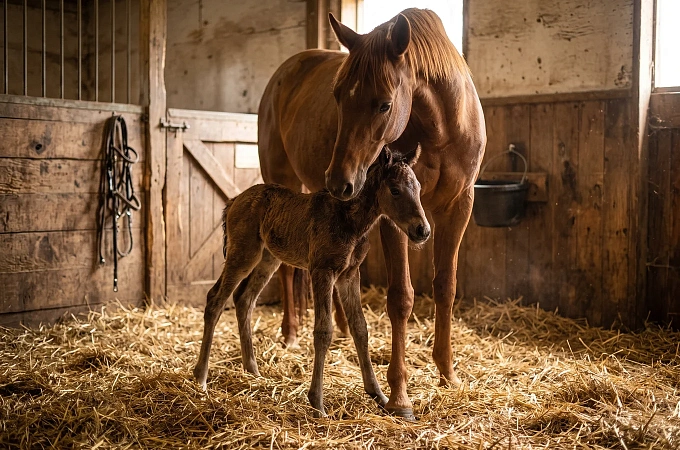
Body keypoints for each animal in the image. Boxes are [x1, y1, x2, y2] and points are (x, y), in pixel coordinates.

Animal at [193, 146, 429, 417]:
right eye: (395, 190)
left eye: (419, 188)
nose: (423, 230)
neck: (349, 220)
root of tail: (233, 201)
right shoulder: (322, 271)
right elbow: (324, 331)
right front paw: (317, 403)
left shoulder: (349, 275)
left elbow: (360, 328)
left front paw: (377, 394)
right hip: (243, 253)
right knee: (215, 299)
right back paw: (200, 377)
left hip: (268, 259)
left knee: (244, 299)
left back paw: (252, 370)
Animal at [257, 8, 486, 419]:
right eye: (336, 97)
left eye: (383, 104)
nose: (339, 180)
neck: (443, 124)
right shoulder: (394, 217)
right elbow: (401, 298)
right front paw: (399, 396)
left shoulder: (458, 207)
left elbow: (445, 287)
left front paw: (448, 373)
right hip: (281, 181)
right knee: (285, 267)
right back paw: (291, 333)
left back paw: (342, 330)